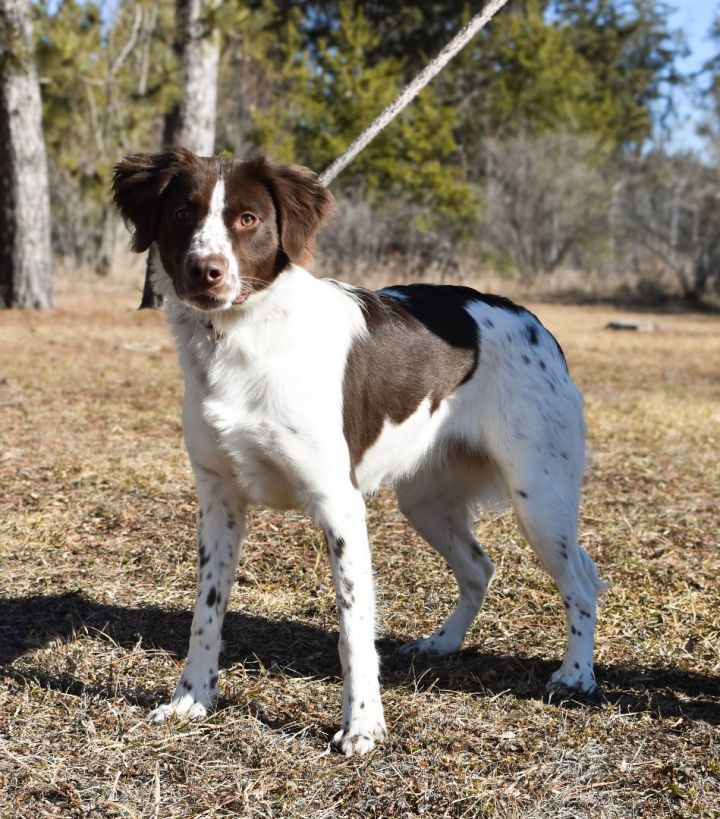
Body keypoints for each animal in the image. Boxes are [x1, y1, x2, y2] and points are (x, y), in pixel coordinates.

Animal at [114, 149, 608, 756]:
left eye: (248, 219)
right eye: (183, 212)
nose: (205, 271)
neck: (246, 339)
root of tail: (535, 322)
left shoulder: (340, 505)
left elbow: (353, 628)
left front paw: (363, 726)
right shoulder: (218, 502)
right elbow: (205, 615)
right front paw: (192, 699)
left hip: (539, 497)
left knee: (580, 581)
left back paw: (576, 673)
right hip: (425, 502)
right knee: (480, 567)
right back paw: (443, 642)